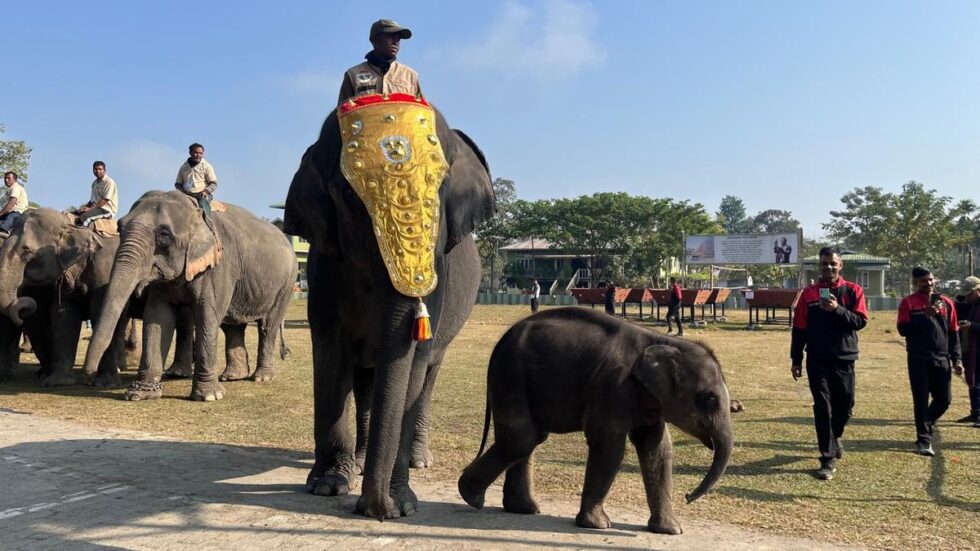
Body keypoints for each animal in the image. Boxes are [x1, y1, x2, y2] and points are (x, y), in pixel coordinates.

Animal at [81, 192, 296, 404]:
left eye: (164, 235)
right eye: (120, 228)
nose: (89, 375)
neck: (196, 211)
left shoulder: (217, 266)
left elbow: (207, 316)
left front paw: (208, 396)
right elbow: (158, 318)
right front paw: (140, 393)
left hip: (286, 284)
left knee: (268, 325)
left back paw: (262, 377)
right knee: (232, 326)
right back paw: (232, 376)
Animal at [284, 95, 498, 520]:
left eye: (441, 187)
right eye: (349, 196)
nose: (375, 508)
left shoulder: (439, 267)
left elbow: (414, 356)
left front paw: (403, 503)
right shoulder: (323, 264)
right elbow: (331, 351)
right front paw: (327, 486)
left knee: (429, 372)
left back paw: (417, 460)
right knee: (365, 378)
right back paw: (360, 461)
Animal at [456, 306, 732, 536]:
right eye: (708, 399)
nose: (687, 496)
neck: (662, 341)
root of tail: (501, 341)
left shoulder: (650, 401)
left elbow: (658, 449)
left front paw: (671, 530)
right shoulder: (613, 386)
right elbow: (610, 445)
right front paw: (597, 525)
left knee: (530, 438)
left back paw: (522, 508)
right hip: (511, 376)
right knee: (522, 438)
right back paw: (472, 496)